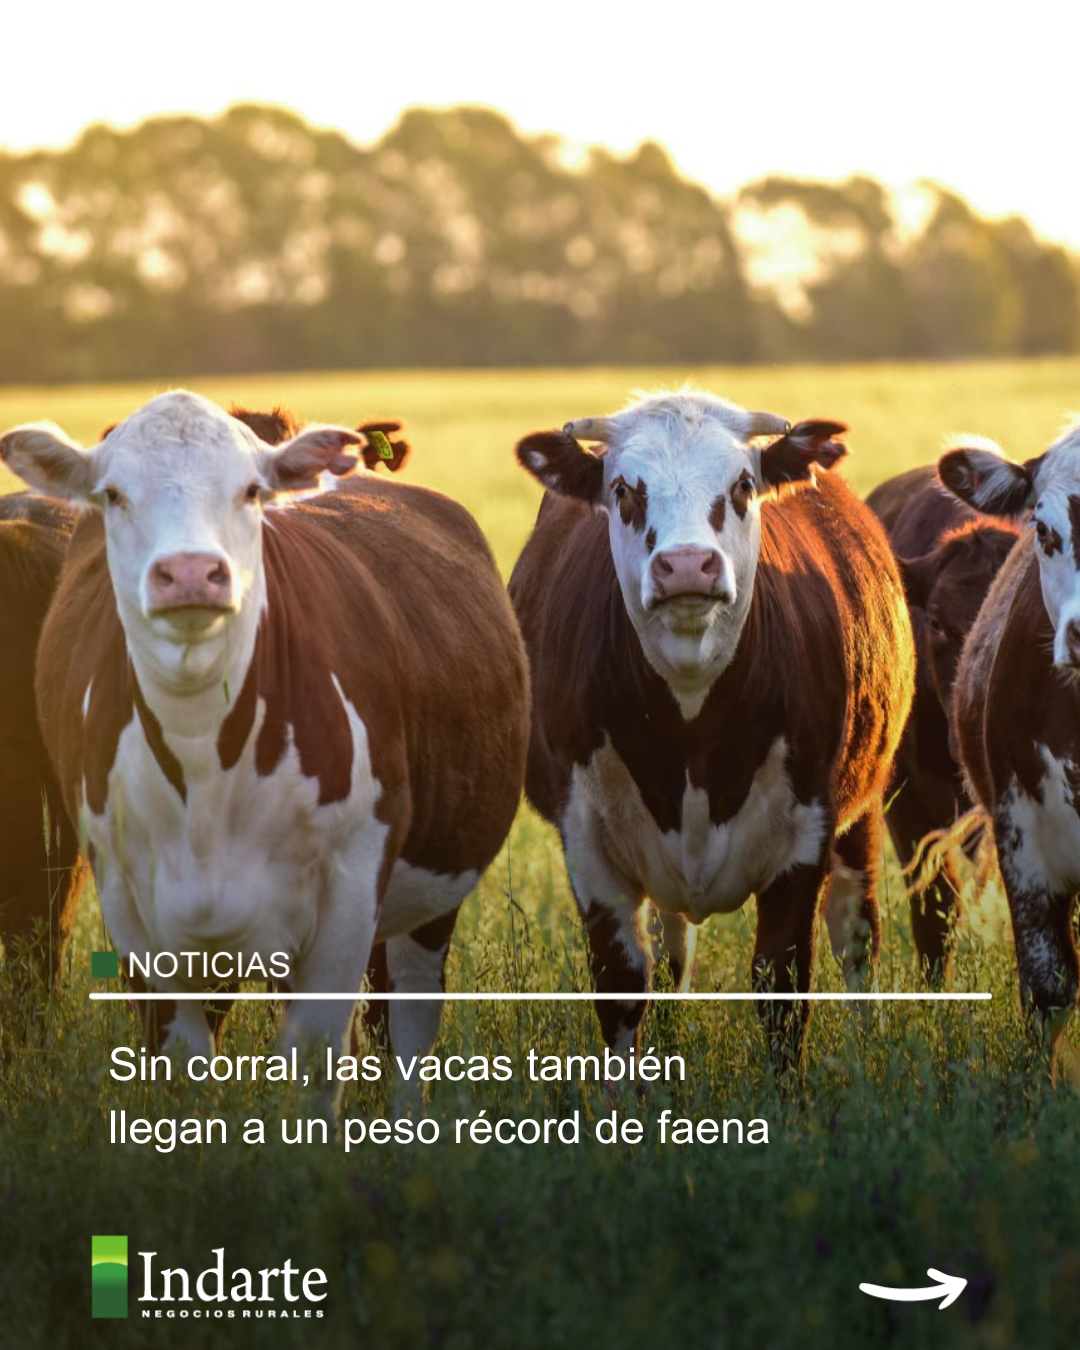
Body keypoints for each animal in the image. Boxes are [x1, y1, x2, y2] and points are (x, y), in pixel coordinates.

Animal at [509, 390, 914, 1081]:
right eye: (623, 489)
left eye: (744, 484)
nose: (686, 566)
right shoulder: (586, 842)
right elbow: (622, 985)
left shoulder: (806, 835)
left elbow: (782, 987)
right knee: (674, 948)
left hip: (862, 811)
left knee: (857, 934)